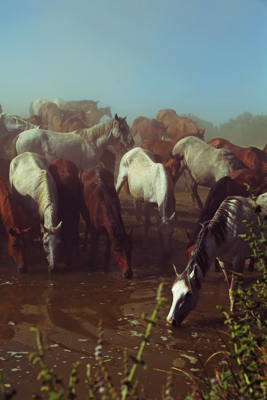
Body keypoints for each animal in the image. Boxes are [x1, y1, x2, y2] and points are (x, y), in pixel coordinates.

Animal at [169, 194, 267, 328]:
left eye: (188, 293)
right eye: (173, 291)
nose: (170, 321)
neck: (228, 230)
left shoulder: (239, 261)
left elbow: (233, 291)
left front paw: (233, 313)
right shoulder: (224, 263)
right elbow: (230, 288)